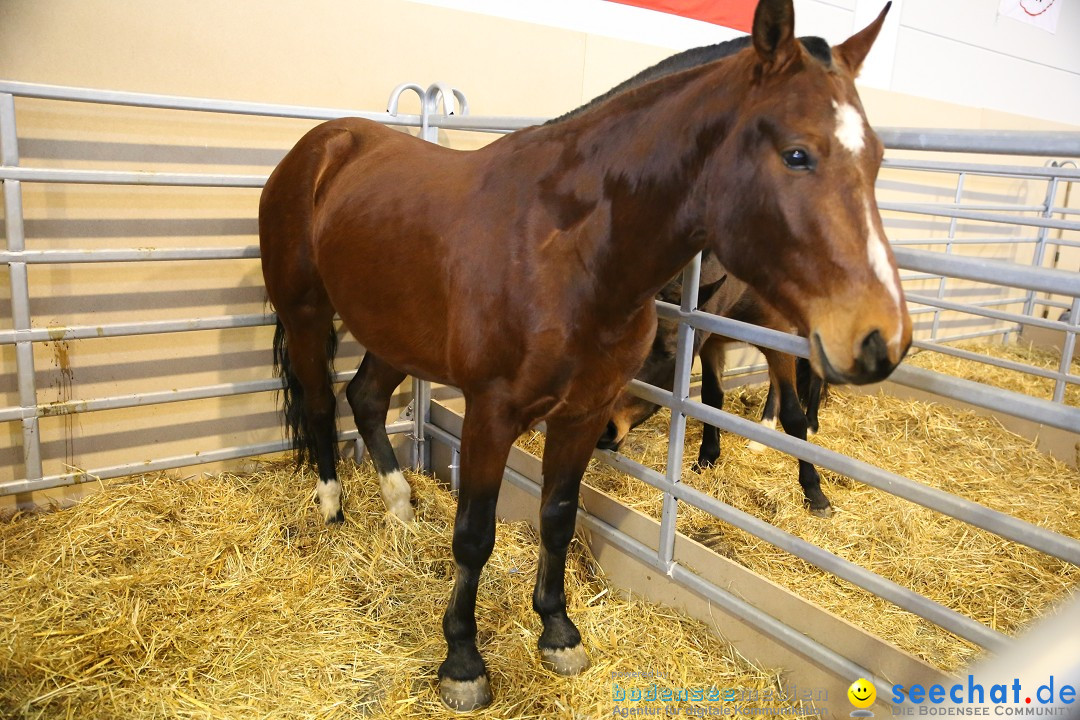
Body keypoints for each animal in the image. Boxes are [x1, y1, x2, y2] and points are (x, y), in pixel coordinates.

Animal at [591, 248, 833, 511]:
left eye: (670, 352)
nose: (605, 429)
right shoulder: (711, 341)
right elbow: (711, 399)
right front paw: (707, 457)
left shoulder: (778, 339)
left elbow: (792, 415)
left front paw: (814, 491)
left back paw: (810, 424)